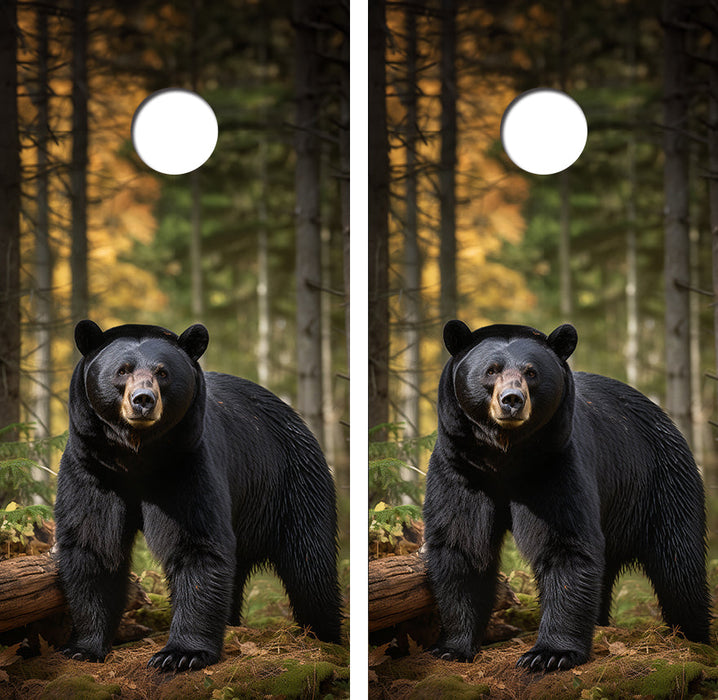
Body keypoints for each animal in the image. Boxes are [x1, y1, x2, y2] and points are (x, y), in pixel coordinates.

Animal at [55, 320, 342, 672]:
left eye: (163, 372)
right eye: (122, 370)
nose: (143, 400)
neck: (136, 456)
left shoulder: (188, 463)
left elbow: (196, 543)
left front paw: (179, 654)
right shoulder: (93, 468)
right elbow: (92, 544)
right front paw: (82, 647)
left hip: (292, 483)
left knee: (310, 566)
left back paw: (326, 635)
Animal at [422, 321, 710, 672]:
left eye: (531, 372)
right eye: (491, 370)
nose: (512, 400)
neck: (504, 457)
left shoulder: (555, 463)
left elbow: (564, 543)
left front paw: (548, 654)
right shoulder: (461, 469)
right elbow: (461, 543)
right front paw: (451, 647)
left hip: (662, 483)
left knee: (679, 566)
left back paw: (694, 636)